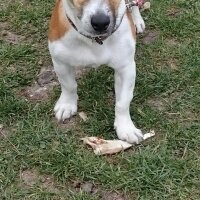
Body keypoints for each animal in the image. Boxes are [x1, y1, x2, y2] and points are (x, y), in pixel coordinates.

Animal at [48, 0, 145, 144]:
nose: (100, 23)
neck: (94, 40)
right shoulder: (60, 62)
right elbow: (69, 85)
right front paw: (67, 104)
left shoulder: (126, 68)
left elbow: (123, 101)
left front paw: (126, 127)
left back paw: (137, 20)